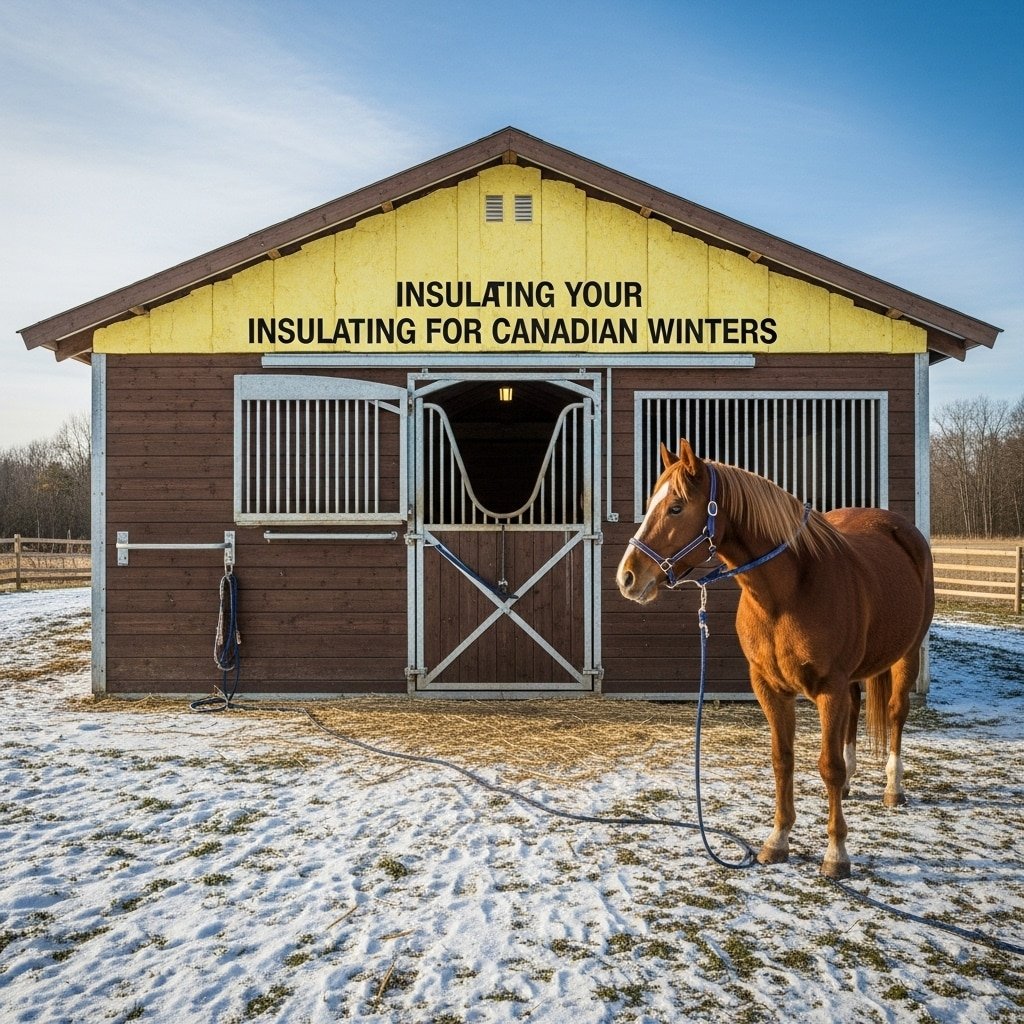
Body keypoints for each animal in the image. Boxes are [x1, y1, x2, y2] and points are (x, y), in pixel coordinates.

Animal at [616, 440, 934, 879]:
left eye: (676, 507)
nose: (627, 577)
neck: (787, 593)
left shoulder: (829, 689)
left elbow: (827, 765)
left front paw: (836, 854)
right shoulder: (770, 687)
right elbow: (782, 760)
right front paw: (777, 841)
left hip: (906, 656)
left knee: (896, 714)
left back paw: (893, 788)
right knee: (855, 711)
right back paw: (850, 785)